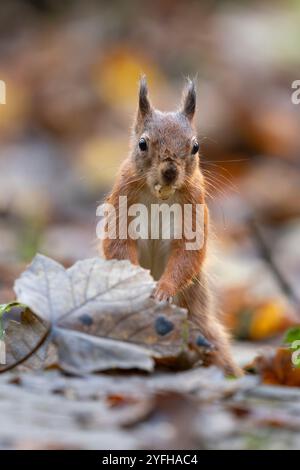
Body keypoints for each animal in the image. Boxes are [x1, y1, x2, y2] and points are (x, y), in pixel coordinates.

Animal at [101, 79, 241, 376]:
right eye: (142, 143)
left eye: (195, 146)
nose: (170, 171)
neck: (160, 195)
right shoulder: (123, 197)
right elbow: (118, 244)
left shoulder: (194, 205)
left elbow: (188, 254)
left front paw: (163, 289)